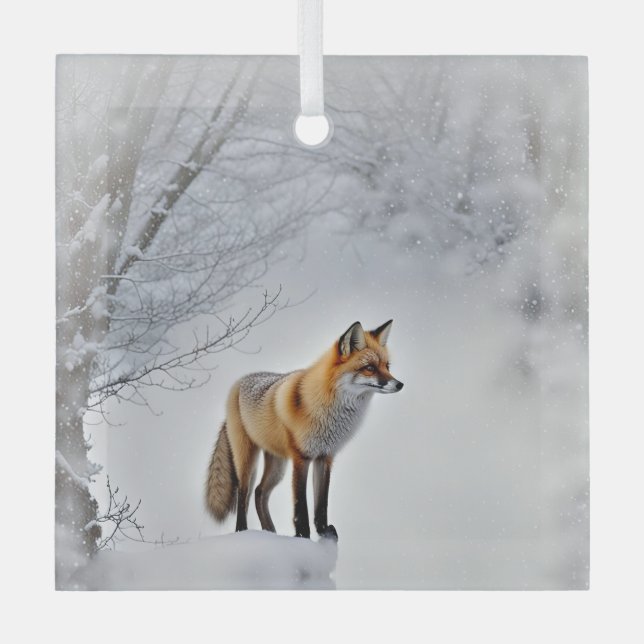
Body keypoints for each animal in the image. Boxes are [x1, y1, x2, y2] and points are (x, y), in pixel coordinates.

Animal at [205, 319, 403, 540]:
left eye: (387, 366)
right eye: (369, 368)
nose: (400, 384)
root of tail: (239, 382)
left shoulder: (325, 457)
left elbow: (321, 505)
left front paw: (324, 533)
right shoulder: (301, 457)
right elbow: (301, 507)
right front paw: (303, 536)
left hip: (277, 465)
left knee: (259, 493)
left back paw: (270, 532)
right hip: (248, 459)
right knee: (244, 494)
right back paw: (243, 531)